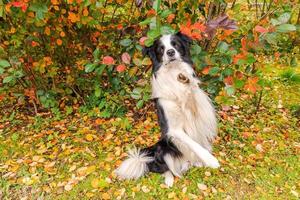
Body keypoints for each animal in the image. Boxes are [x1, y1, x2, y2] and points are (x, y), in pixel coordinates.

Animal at [115, 32, 220, 187]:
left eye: (175, 44)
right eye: (161, 49)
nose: (170, 52)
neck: (174, 72)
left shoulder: (200, 110)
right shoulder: (174, 129)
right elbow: (194, 144)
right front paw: (211, 160)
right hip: (162, 149)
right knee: (164, 168)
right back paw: (169, 179)